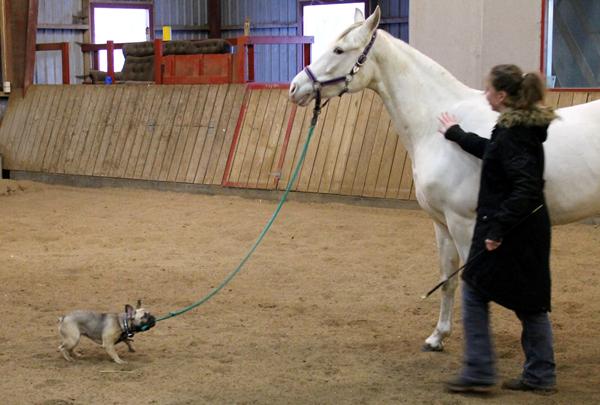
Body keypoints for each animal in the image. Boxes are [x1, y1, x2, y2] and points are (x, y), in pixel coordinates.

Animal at [288, 6, 596, 350]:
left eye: (339, 50)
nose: (295, 88)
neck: (435, 126)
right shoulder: (442, 224)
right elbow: (446, 281)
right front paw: (438, 336)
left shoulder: (465, 223)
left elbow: (471, 283)